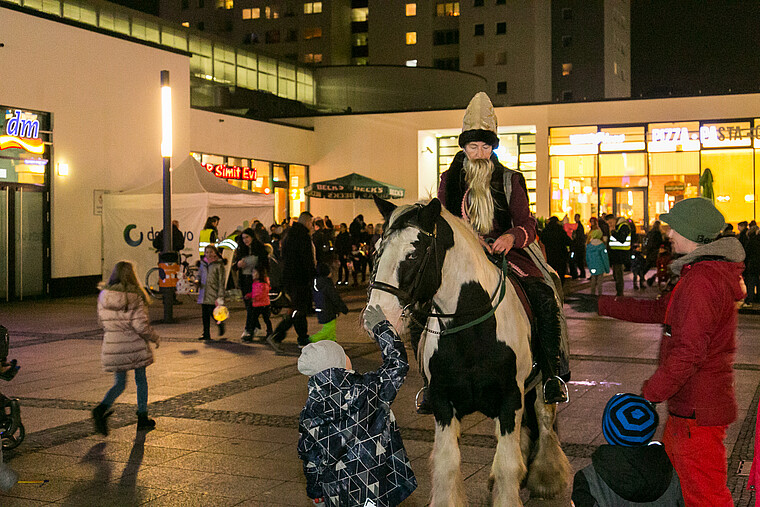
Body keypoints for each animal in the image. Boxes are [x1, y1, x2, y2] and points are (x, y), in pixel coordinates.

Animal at [368, 196, 568, 506]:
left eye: (413, 254)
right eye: (377, 249)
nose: (375, 315)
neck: (471, 333)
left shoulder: (510, 398)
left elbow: (508, 465)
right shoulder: (443, 403)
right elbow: (447, 464)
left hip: (540, 382)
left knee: (544, 417)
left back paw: (547, 477)